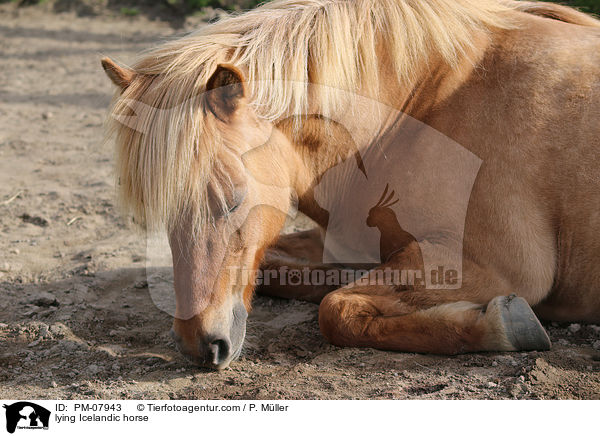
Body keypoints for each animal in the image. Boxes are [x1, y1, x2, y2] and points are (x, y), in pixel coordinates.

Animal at [101, 0, 600, 368]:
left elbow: (336, 310)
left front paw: (503, 323)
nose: (198, 344)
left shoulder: (497, 268)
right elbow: (285, 272)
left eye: (232, 200)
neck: (418, 113)